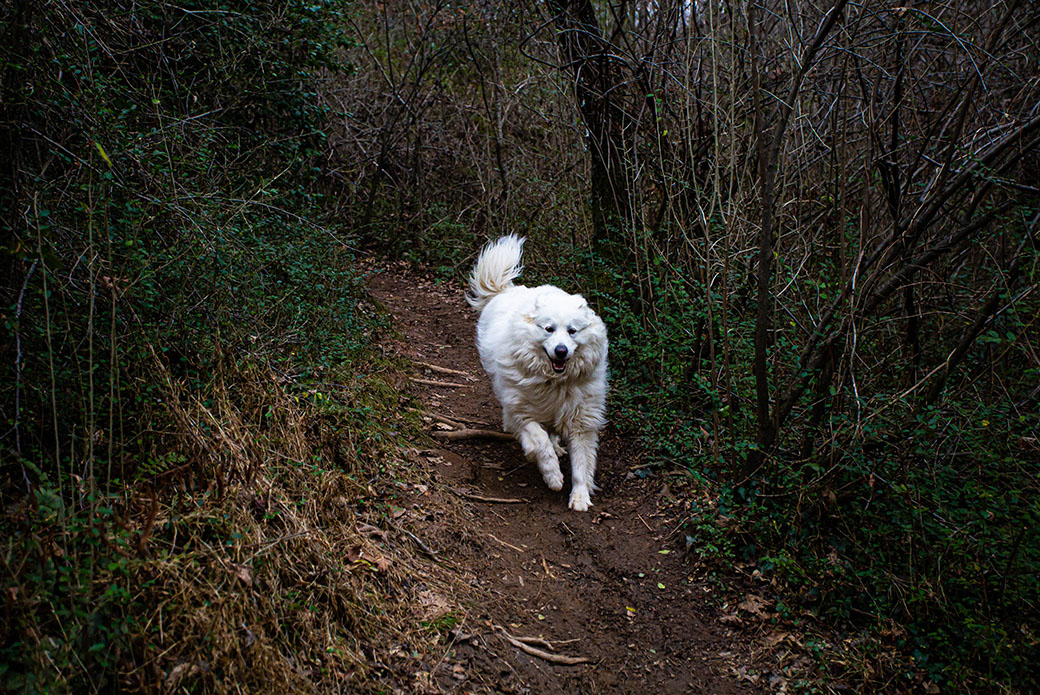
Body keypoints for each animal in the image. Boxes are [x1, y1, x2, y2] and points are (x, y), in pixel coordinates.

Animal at [465, 235, 607, 509]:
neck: (554, 382)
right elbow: (540, 442)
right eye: (549, 329)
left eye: (572, 331)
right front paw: (552, 475)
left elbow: (581, 463)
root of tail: (508, 289)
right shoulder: (520, 414)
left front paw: (580, 497)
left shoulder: (581, 420)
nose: (561, 351)